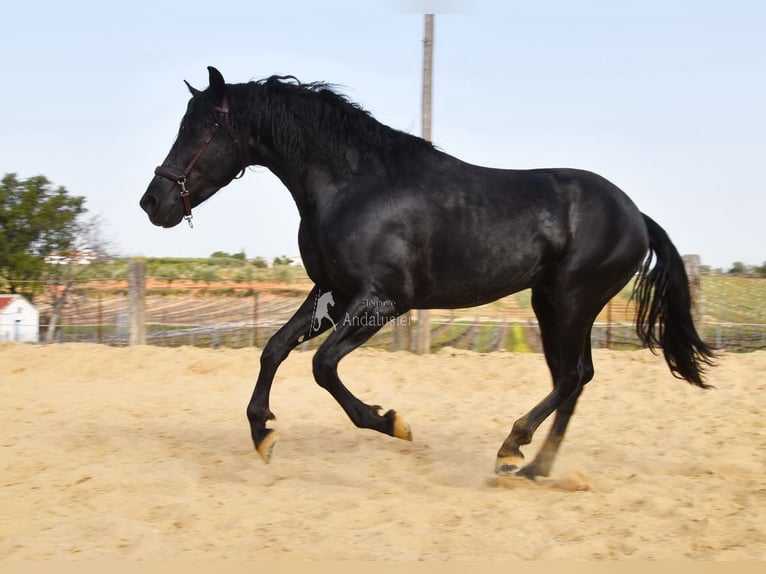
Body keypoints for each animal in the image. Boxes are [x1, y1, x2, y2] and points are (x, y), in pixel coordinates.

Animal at [141, 66, 715, 479]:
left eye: (202, 129)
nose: (153, 203)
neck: (354, 185)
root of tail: (636, 215)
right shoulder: (331, 292)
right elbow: (275, 349)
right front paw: (263, 434)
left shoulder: (382, 301)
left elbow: (323, 365)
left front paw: (391, 422)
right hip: (550, 304)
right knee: (574, 379)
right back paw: (533, 466)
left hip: (572, 303)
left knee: (572, 377)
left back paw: (514, 449)